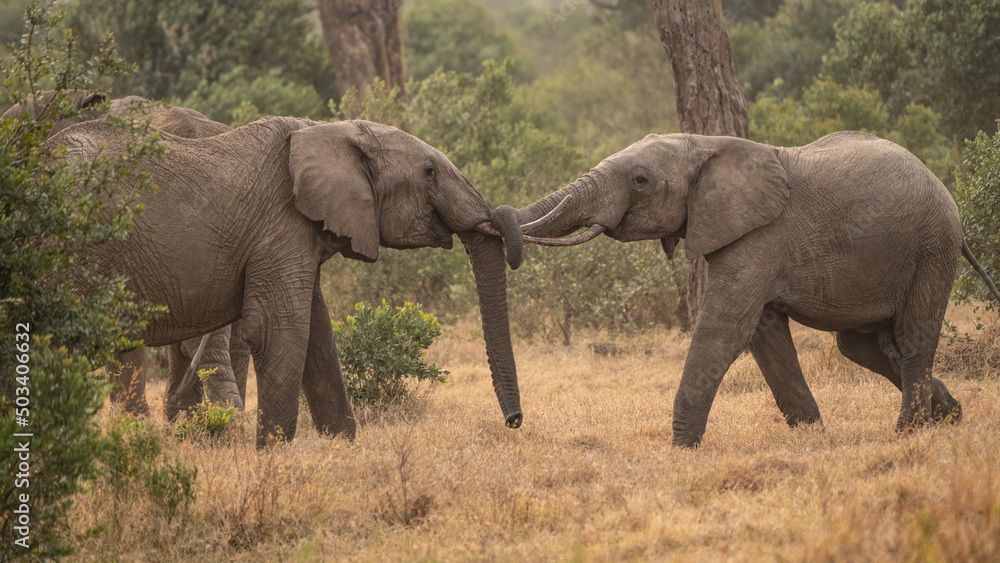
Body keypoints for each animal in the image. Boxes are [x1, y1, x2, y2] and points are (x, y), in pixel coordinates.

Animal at [46, 115, 527, 446]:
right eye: (429, 172)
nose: (514, 422)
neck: (327, 130)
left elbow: (318, 337)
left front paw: (341, 447)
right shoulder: (281, 228)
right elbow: (278, 330)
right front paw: (273, 457)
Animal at [502, 130, 1000, 448]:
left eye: (640, 180)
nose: (500, 225)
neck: (704, 143)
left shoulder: (759, 238)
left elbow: (725, 328)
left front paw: (681, 448)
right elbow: (763, 332)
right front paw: (812, 436)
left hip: (932, 247)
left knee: (912, 340)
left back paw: (907, 434)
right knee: (864, 346)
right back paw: (949, 417)